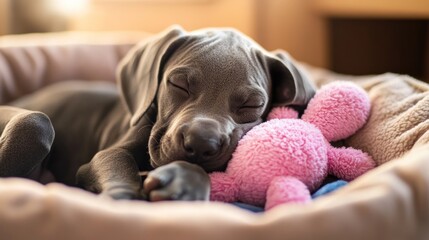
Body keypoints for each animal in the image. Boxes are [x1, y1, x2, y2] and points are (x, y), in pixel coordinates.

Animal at [0, 25, 314, 201]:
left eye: (251, 105)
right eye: (178, 84)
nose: (201, 143)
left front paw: (184, 183)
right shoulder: (106, 155)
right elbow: (117, 165)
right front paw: (124, 196)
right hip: (33, 122)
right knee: (36, 123)